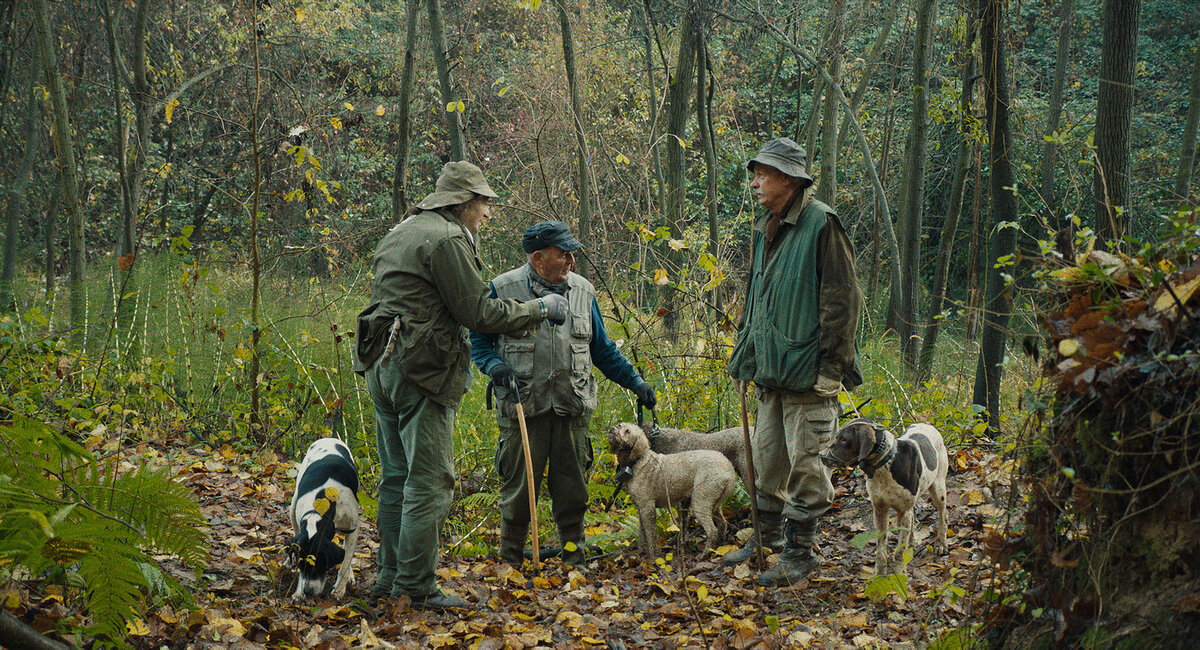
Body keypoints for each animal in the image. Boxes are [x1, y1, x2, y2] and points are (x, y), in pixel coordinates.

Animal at [286, 438, 357, 602]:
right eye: (301, 566)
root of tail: (329, 438)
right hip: (293, 506)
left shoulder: (353, 528)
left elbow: (346, 561)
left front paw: (339, 590)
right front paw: (298, 592)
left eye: (319, 564)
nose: (307, 591)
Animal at [604, 424, 734, 558]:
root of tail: (729, 470)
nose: (612, 428)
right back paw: (720, 547)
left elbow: (651, 535)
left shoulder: (647, 508)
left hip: (701, 500)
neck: (638, 461)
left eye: (628, 431)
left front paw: (653, 557)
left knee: (712, 530)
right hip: (715, 503)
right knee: (723, 524)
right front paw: (640, 554)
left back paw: (704, 554)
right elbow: (642, 535)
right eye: (619, 425)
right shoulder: (640, 508)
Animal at [825, 417, 945, 575]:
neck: (884, 465)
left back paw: (941, 543)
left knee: (943, 515)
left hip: (938, 488)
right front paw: (880, 574)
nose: (823, 457)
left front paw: (900, 572)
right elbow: (881, 548)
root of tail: (927, 425)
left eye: (843, 439)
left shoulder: (903, 511)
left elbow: (899, 550)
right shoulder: (880, 510)